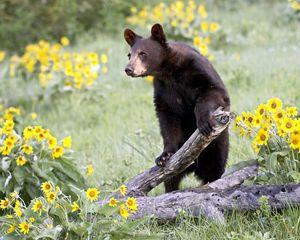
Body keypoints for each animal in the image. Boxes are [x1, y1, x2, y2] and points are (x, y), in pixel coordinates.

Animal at [123, 23, 230, 192]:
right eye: (129, 55)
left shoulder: (197, 69)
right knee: (171, 179)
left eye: (142, 53)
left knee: (214, 168)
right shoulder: (163, 89)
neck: (169, 71)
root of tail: (194, 167)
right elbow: (167, 119)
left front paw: (203, 122)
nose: (128, 69)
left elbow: (213, 91)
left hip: (217, 146)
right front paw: (164, 156)